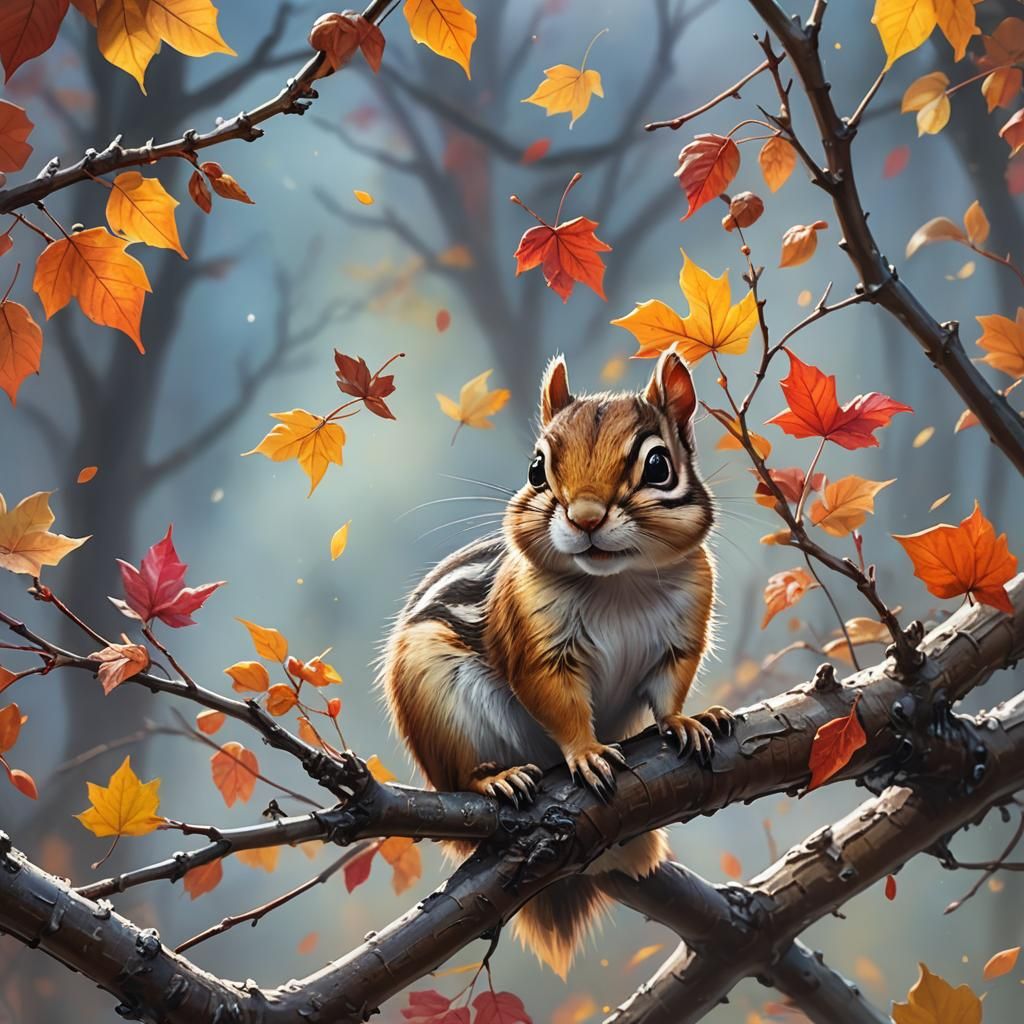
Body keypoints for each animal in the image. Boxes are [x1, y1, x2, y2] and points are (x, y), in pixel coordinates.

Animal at [380, 349, 731, 977]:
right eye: (537, 469)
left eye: (659, 466)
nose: (586, 516)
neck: (618, 584)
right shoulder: (537, 649)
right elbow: (559, 705)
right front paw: (588, 752)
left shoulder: (681, 638)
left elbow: (668, 690)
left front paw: (686, 722)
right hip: (437, 706)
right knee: (460, 775)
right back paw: (498, 777)